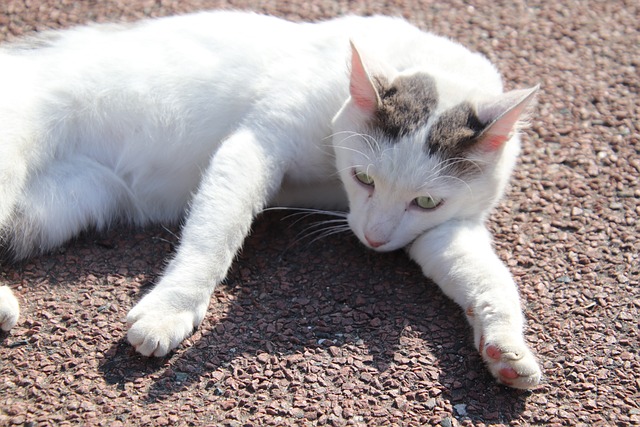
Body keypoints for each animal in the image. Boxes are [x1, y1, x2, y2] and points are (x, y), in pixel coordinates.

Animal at [0, 10, 540, 392]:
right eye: (363, 177)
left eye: (426, 202)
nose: (373, 238)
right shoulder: (255, 145)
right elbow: (215, 237)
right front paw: (171, 309)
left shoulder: (445, 229)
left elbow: (486, 277)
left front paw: (507, 348)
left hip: (55, 206)